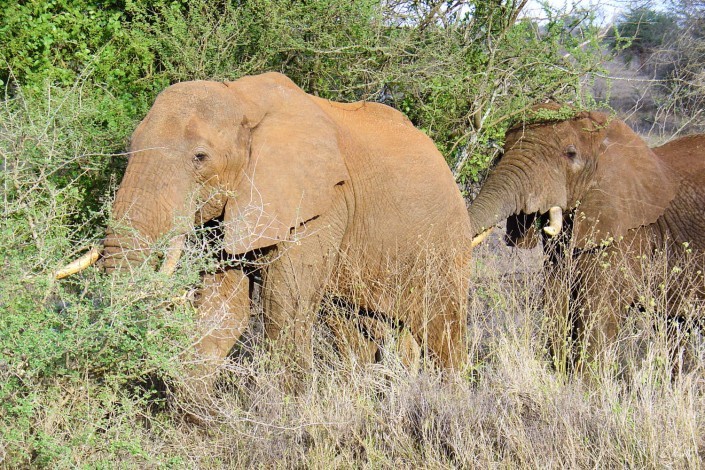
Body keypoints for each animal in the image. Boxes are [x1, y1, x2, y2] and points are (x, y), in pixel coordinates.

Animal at [56, 72, 472, 390]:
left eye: (200, 157)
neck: (243, 99)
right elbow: (222, 307)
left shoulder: (320, 206)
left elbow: (283, 309)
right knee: (355, 329)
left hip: (444, 242)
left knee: (442, 333)